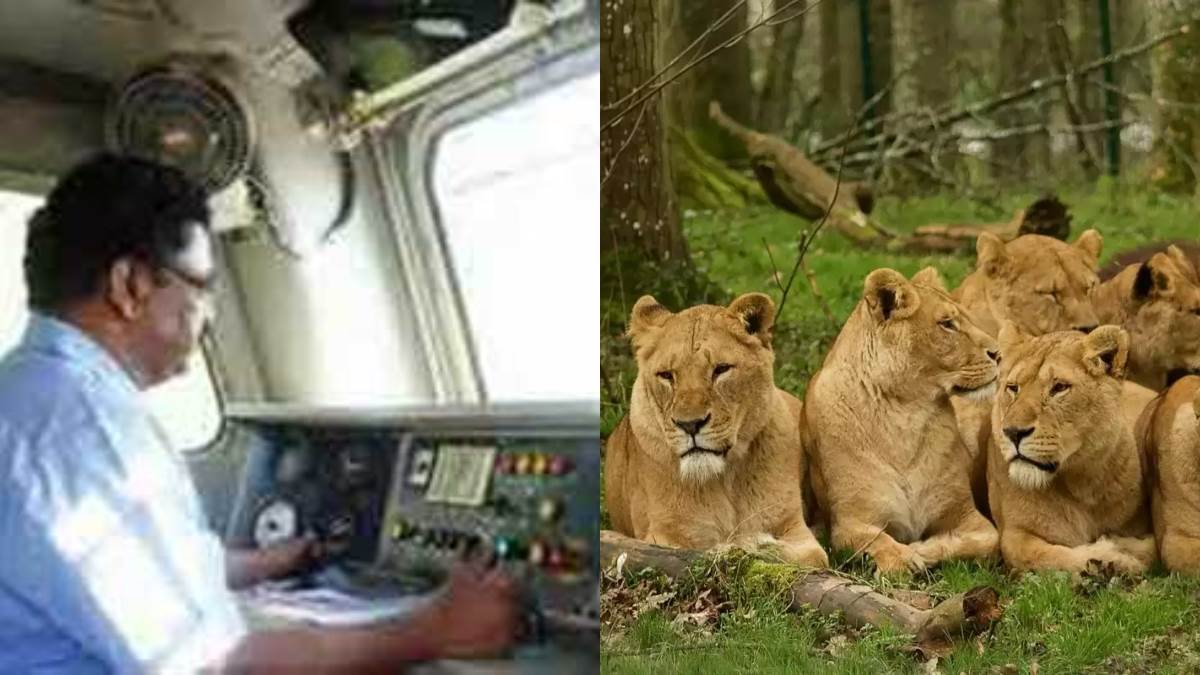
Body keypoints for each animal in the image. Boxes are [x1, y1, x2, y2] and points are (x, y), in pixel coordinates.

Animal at [603, 293, 828, 567]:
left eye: (721, 369)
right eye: (666, 375)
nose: (690, 424)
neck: (724, 480)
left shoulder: (797, 533)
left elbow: (795, 554)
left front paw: (749, 543)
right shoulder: (663, 536)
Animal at [802, 267, 999, 575]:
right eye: (947, 324)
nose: (999, 353)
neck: (905, 413)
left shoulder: (968, 516)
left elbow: (983, 542)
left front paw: (921, 549)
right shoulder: (850, 522)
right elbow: (878, 541)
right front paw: (902, 558)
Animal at [986, 323, 1157, 575]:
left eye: (1059, 388)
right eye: (1013, 388)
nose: (1013, 432)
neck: (1080, 485)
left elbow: (1153, 547)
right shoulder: (1014, 534)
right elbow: (1043, 556)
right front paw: (1113, 559)